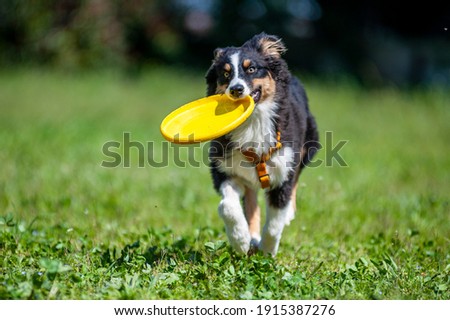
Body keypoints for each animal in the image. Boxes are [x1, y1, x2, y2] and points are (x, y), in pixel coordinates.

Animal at [206, 32, 318, 256]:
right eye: (225, 74)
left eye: (251, 69)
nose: (236, 89)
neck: (252, 122)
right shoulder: (224, 168)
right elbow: (227, 206)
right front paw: (240, 240)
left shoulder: (283, 169)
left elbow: (275, 220)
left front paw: (267, 251)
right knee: (250, 201)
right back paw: (252, 237)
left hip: (309, 145)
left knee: (295, 180)